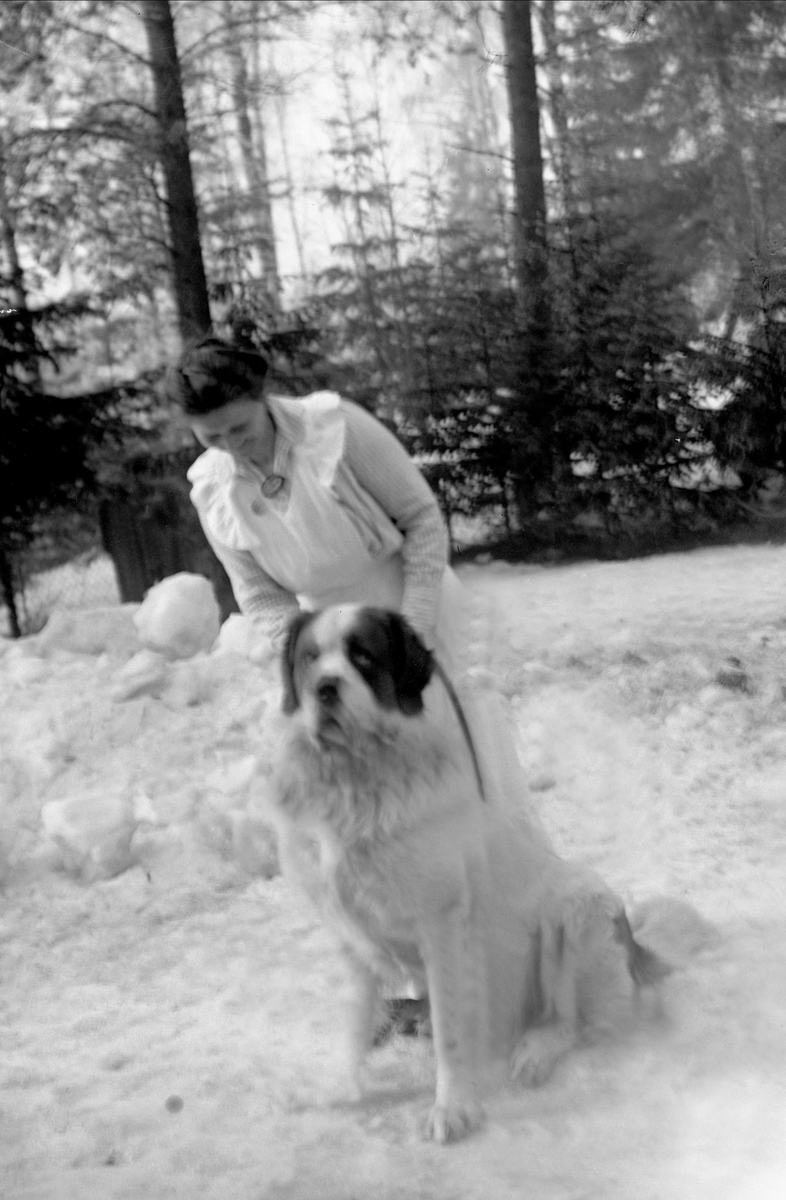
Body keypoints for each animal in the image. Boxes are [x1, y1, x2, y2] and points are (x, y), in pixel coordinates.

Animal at [271, 609, 672, 1142]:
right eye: (309, 658)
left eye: (363, 656)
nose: (325, 688)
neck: (355, 782)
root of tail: (632, 941)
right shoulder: (348, 935)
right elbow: (352, 1023)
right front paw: (338, 1090)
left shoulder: (443, 931)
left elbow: (453, 1036)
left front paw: (452, 1108)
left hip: (575, 906)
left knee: (571, 1020)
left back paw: (534, 1051)